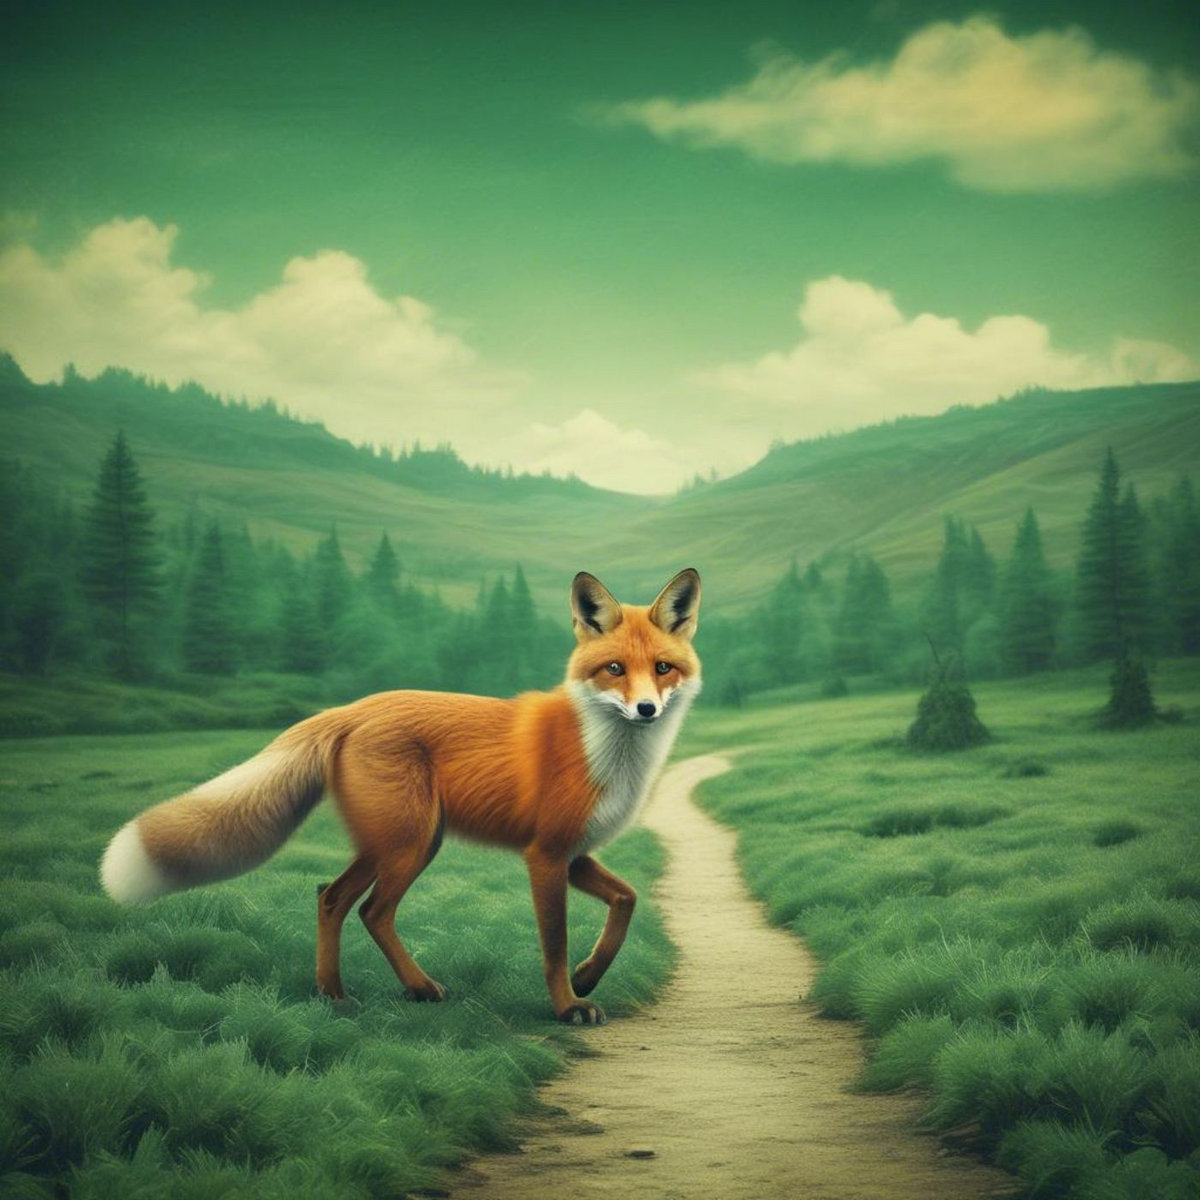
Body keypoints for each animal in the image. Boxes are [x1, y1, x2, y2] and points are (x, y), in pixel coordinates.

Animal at [100, 568, 701, 1025]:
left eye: (662, 668)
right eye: (615, 669)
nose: (646, 709)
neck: (602, 750)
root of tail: (353, 707)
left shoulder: (573, 854)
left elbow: (626, 900)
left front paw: (590, 975)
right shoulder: (546, 854)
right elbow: (554, 943)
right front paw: (567, 1004)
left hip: (393, 843)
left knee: (330, 897)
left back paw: (334, 995)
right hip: (410, 844)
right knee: (371, 911)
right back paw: (416, 987)